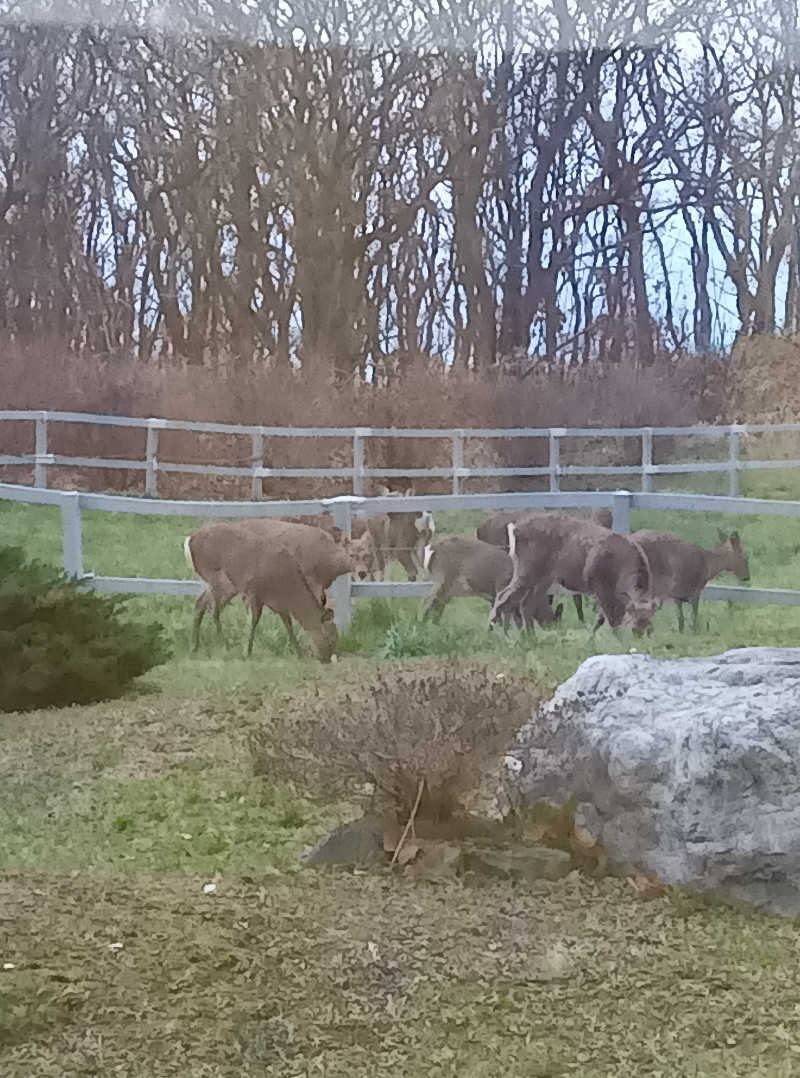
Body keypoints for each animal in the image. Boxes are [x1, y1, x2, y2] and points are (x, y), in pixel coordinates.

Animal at [184, 519, 338, 659]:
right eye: (330, 638)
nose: (326, 659)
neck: (285, 586)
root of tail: (190, 539)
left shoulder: (278, 603)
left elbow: (288, 624)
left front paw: (298, 653)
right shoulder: (253, 591)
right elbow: (253, 621)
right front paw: (247, 652)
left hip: (227, 586)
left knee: (201, 603)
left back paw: (194, 647)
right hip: (217, 576)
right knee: (213, 609)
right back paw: (225, 645)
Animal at [420, 534, 564, 629]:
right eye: (555, 622)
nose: (555, 632)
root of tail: (431, 548)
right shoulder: (501, 587)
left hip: (448, 589)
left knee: (437, 606)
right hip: (442, 576)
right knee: (427, 602)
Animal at [495, 510, 659, 633]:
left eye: (650, 630)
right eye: (634, 629)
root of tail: (514, 529)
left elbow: (603, 618)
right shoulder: (598, 583)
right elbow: (613, 619)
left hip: (543, 578)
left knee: (525, 604)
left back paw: (529, 638)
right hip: (528, 570)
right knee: (503, 597)